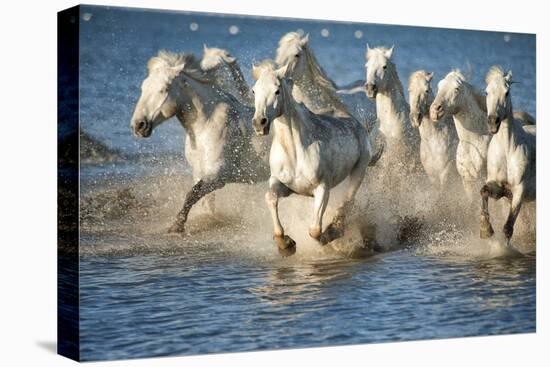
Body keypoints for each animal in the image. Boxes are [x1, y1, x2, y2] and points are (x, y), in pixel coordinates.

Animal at [130, 51, 270, 233]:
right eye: (143, 88)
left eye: (163, 89)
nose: (138, 125)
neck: (205, 127)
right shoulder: (199, 172)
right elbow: (205, 201)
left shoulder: (218, 176)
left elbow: (192, 194)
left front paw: (177, 226)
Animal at [253, 66, 380, 256]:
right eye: (254, 90)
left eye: (277, 91)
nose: (259, 123)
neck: (295, 152)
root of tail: (356, 123)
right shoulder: (284, 185)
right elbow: (270, 198)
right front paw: (286, 244)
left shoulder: (322, 188)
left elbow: (314, 230)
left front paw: (327, 236)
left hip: (359, 171)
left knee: (348, 201)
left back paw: (337, 231)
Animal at [480, 67, 536, 242]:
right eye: (486, 92)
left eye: (507, 92)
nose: (493, 121)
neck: (506, 151)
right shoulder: (499, 189)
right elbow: (483, 191)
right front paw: (485, 230)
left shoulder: (519, 191)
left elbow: (507, 228)